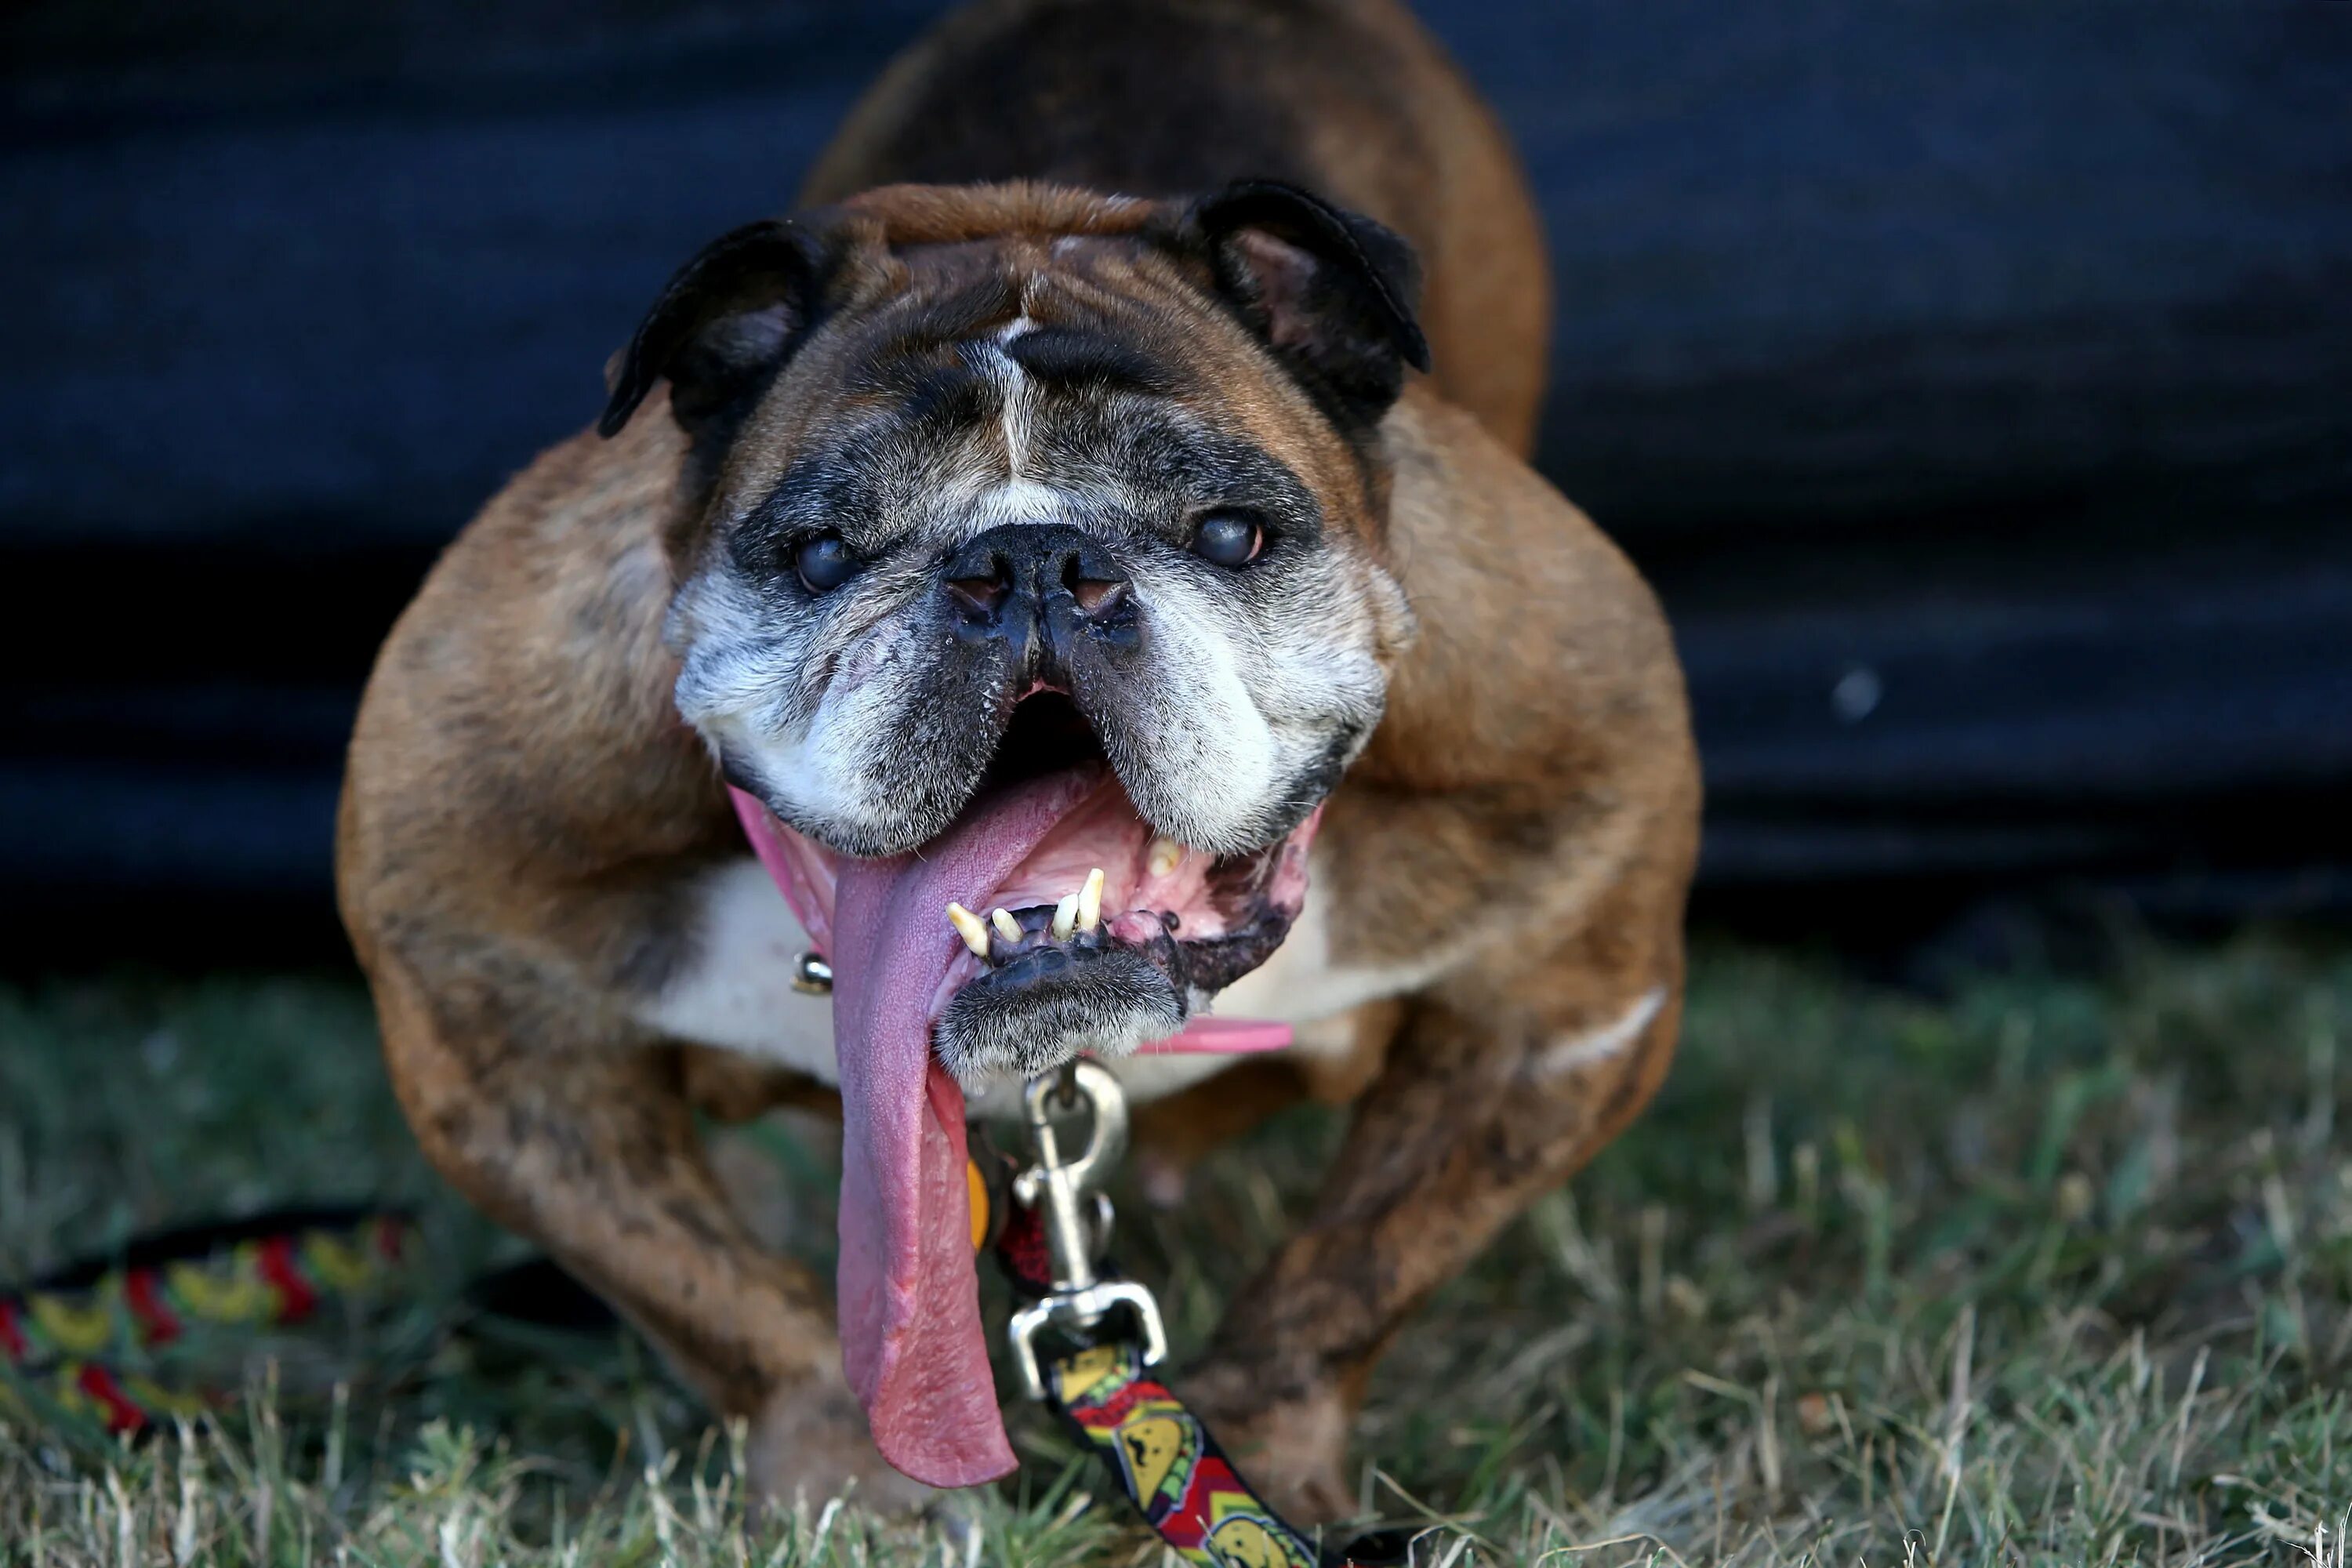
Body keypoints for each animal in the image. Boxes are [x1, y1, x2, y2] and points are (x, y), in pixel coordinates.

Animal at [336, 0, 1693, 1523]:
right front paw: (857, 1484)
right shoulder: (492, 1033)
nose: (1032, 558)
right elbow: (720, 1299)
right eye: (822, 552)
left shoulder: (1569, 997)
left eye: (1231, 533)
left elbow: (1351, 1272)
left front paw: (1261, 1455)